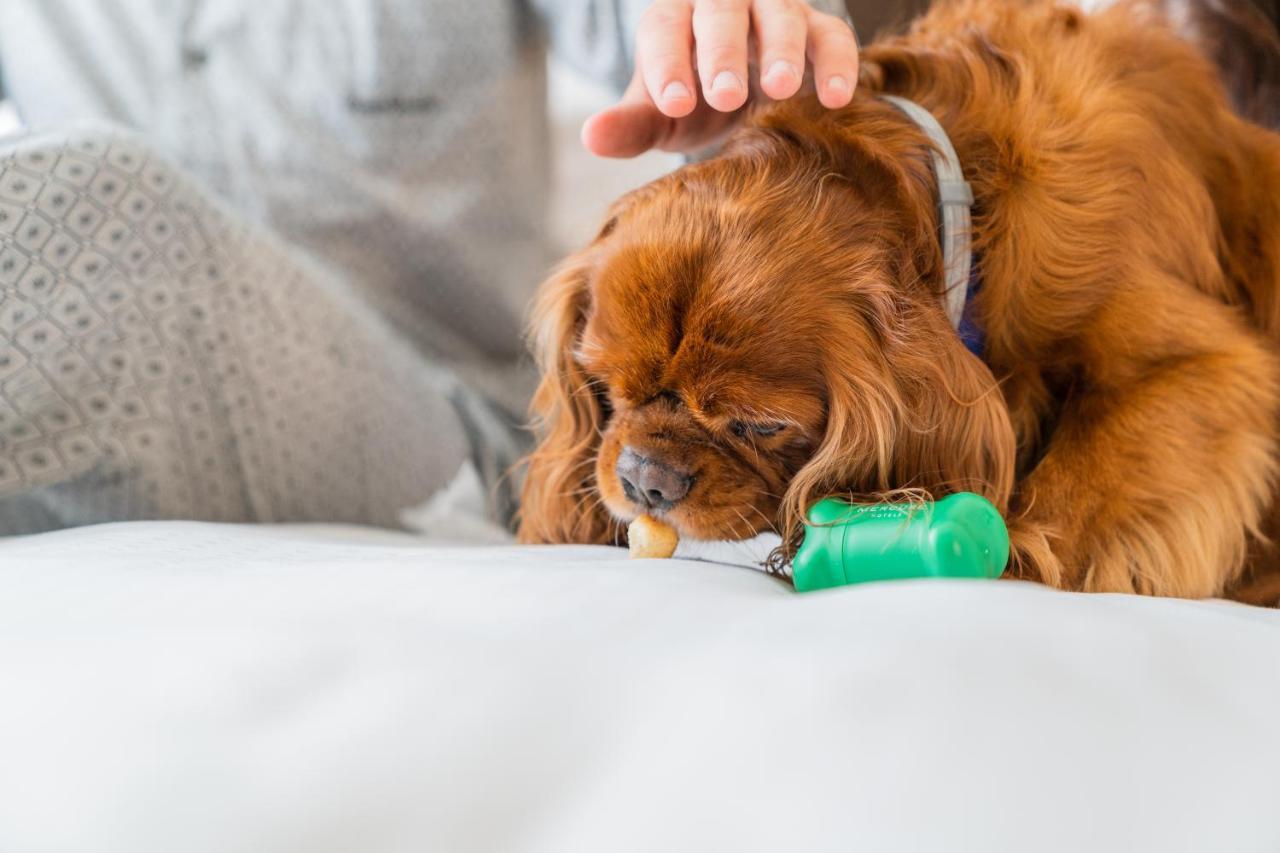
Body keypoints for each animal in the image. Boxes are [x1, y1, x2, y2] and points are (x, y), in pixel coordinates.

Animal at [517, 0, 1280, 601]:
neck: (974, 196)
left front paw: (1020, 557)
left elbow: (1078, 490)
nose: (647, 479)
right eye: (603, 387)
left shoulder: (1198, 368)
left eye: (761, 425)